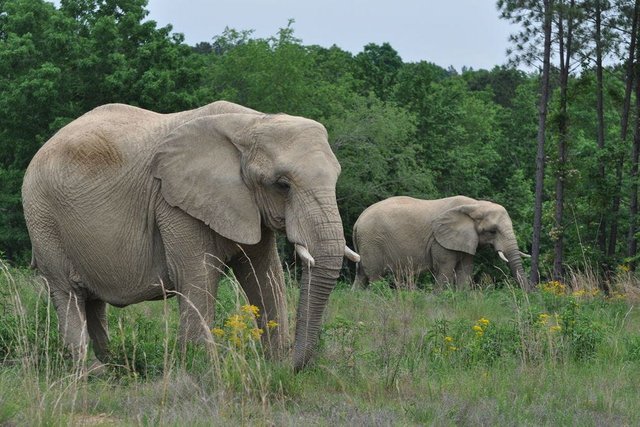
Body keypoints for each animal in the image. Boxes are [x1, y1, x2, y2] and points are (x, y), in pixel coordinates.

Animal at [22, 100, 360, 372]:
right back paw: (90, 373)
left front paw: (273, 363)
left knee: (92, 302)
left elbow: (265, 276)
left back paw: (114, 367)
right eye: (282, 185)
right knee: (68, 293)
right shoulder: (174, 204)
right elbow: (198, 276)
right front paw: (204, 370)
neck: (250, 123)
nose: (292, 365)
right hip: (42, 217)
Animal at [350, 196, 528, 290]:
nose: (528, 294)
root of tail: (357, 221)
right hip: (372, 242)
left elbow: (465, 271)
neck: (475, 205)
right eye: (493, 231)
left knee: (361, 275)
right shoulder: (440, 241)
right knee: (375, 277)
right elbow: (445, 270)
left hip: (366, 243)